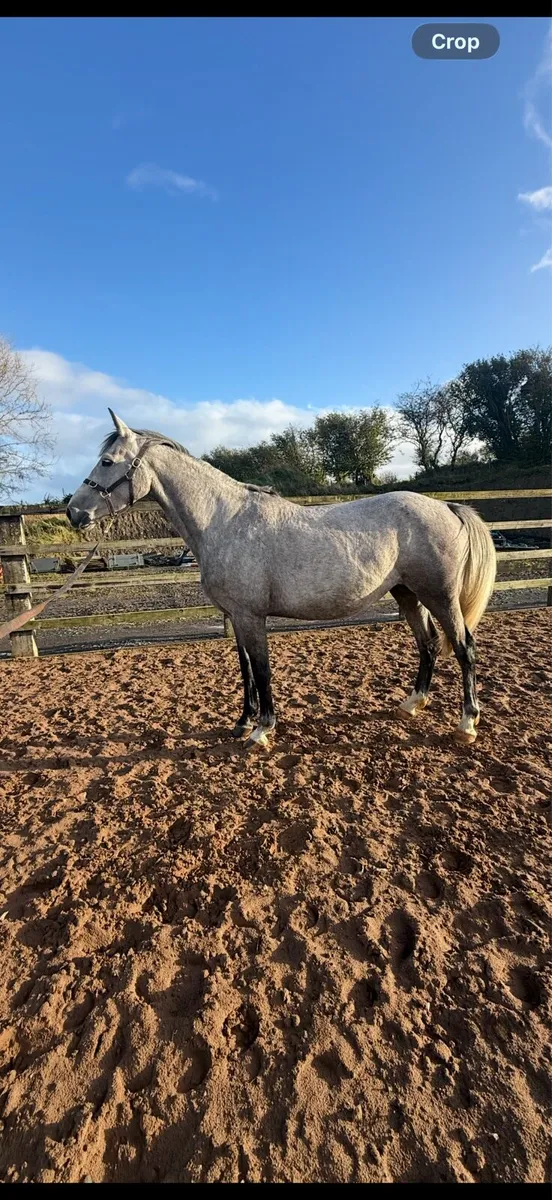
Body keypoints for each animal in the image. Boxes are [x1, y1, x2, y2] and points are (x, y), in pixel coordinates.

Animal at [67, 409, 496, 748]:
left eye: (107, 462)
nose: (73, 513)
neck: (224, 519)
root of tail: (446, 506)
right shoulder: (237, 617)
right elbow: (245, 669)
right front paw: (243, 722)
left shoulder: (251, 616)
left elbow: (261, 669)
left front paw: (262, 730)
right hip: (407, 594)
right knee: (428, 644)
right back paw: (411, 704)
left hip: (440, 596)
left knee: (463, 647)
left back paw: (467, 723)